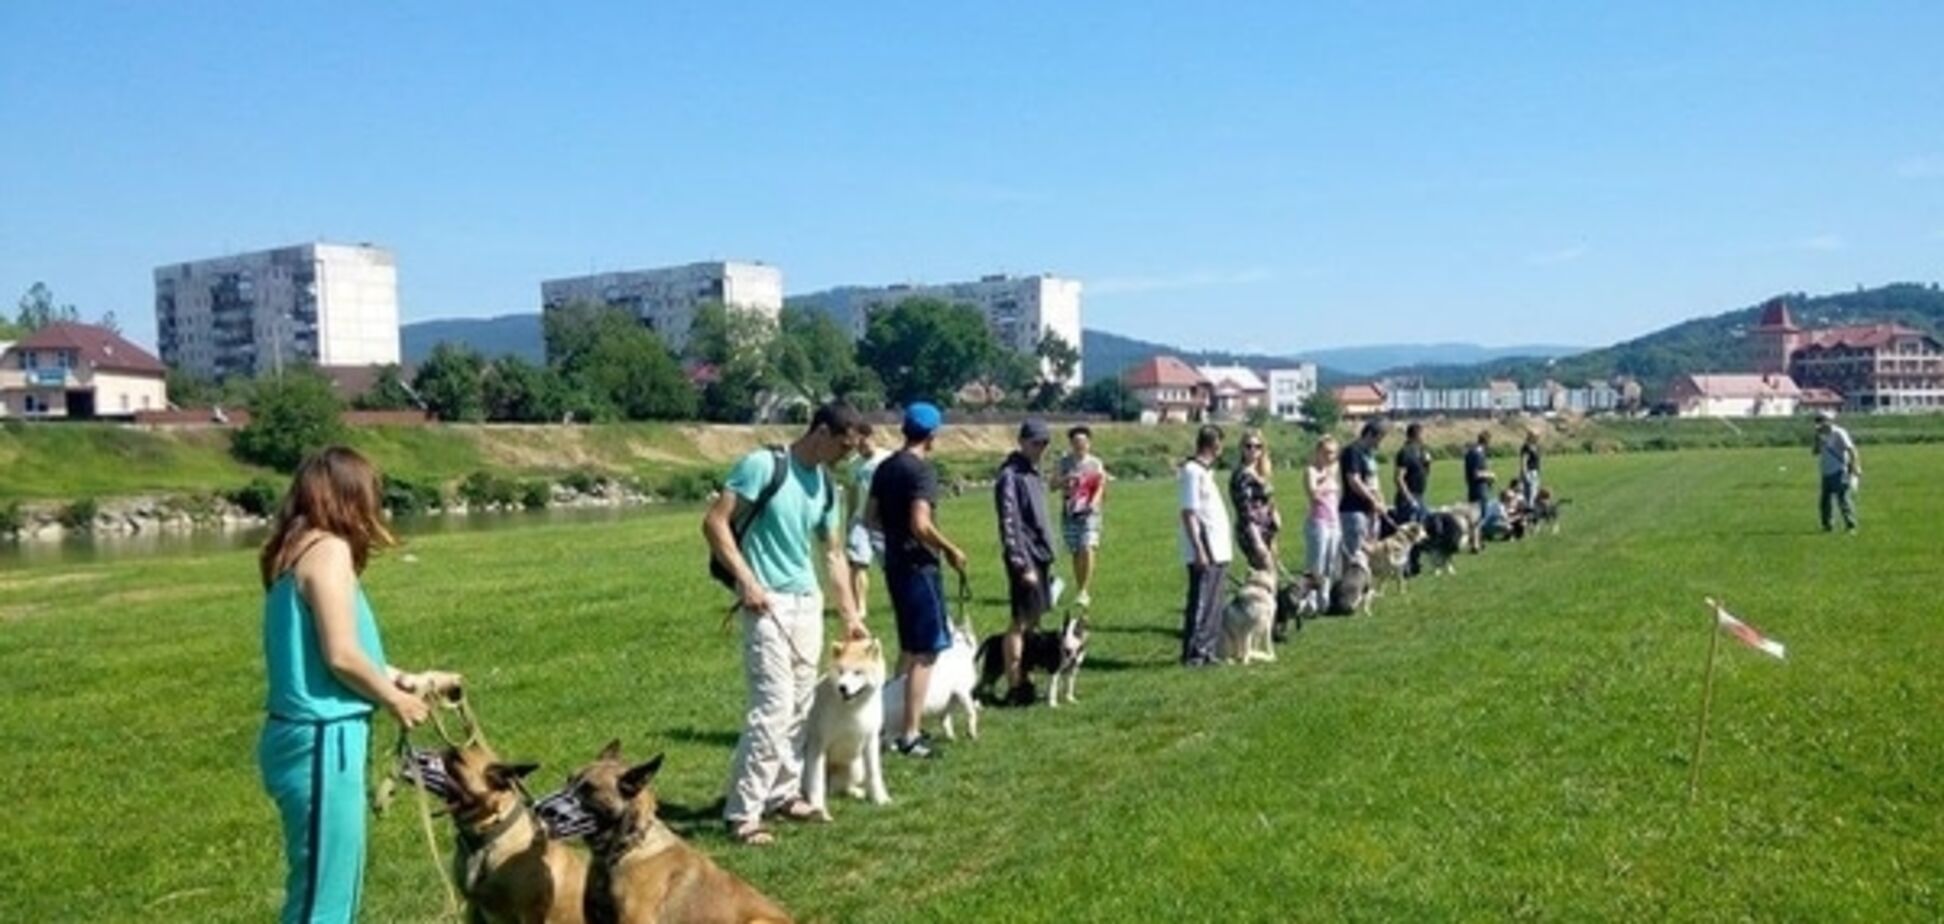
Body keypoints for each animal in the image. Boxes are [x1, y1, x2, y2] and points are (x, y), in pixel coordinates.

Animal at [567, 746, 793, 924]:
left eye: (588, 790)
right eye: (568, 781)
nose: (553, 810)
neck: (626, 850)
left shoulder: (635, 919)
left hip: (758, 922)